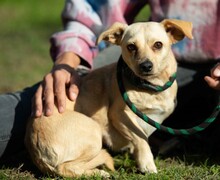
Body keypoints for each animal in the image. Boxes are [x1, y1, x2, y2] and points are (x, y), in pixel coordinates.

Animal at [25, 19, 192, 177]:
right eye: (131, 47)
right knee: (65, 167)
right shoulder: (119, 115)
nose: (145, 66)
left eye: (158, 45)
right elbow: (141, 138)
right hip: (93, 132)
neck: (151, 89)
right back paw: (98, 173)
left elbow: (144, 136)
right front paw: (147, 163)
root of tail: (35, 147)